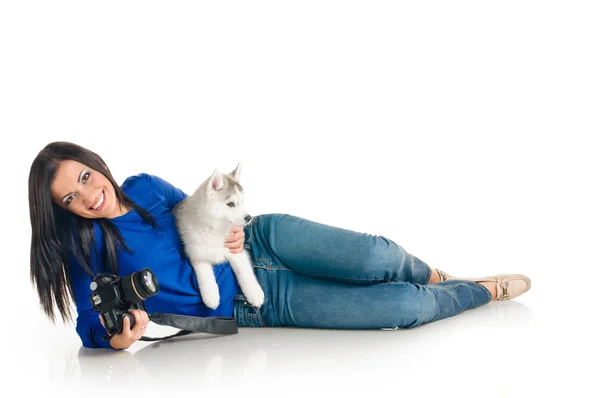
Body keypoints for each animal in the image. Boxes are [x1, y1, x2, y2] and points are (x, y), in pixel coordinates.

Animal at [172, 163, 264, 310]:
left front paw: (254, 293)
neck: (214, 229)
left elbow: (244, 271)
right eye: (230, 204)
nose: (249, 218)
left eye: (242, 201)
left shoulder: (236, 250)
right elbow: (204, 274)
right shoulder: (197, 254)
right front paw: (211, 296)